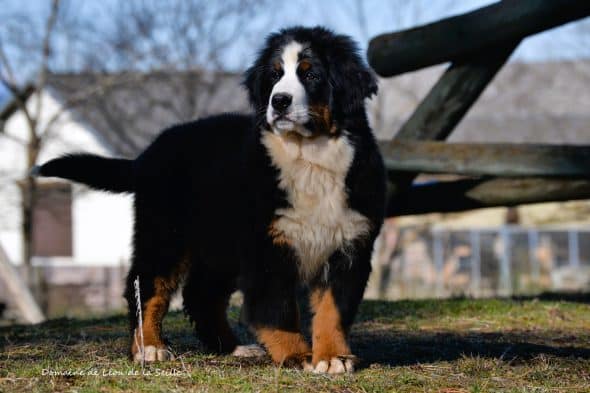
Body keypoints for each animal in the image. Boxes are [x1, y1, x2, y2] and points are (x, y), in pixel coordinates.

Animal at [37, 26, 388, 372]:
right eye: (275, 75)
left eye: (311, 73)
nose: (279, 101)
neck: (310, 156)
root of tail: (148, 153)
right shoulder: (267, 248)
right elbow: (278, 308)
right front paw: (297, 354)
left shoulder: (349, 245)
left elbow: (334, 310)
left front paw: (332, 357)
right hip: (166, 235)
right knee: (147, 285)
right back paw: (149, 347)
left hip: (220, 244)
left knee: (201, 296)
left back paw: (232, 349)